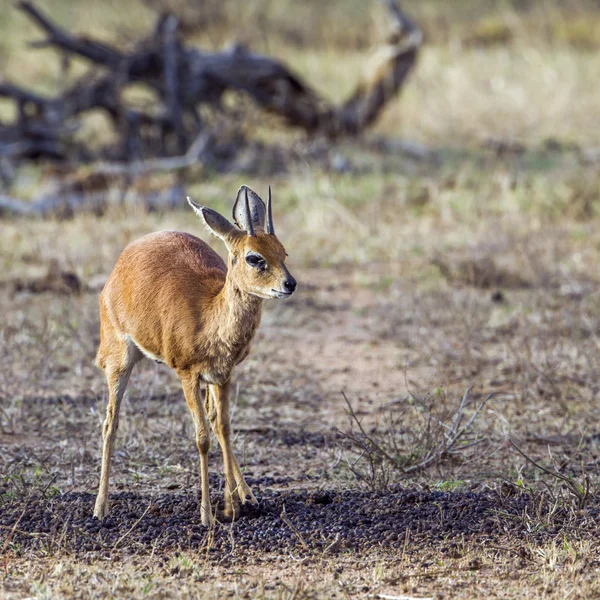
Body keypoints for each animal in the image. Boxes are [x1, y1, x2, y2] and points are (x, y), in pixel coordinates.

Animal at [94, 185, 298, 524]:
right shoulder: (186, 374)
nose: (290, 284)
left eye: (283, 252)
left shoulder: (222, 375)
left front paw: (234, 505)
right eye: (254, 257)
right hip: (118, 360)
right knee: (111, 423)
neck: (208, 316)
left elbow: (224, 428)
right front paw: (206, 514)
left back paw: (247, 495)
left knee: (214, 421)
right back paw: (100, 507)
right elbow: (202, 438)